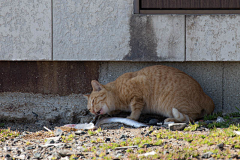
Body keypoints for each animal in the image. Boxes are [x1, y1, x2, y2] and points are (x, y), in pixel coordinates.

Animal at [84, 65, 214, 122]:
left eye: (93, 101)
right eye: (89, 109)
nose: (93, 111)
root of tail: (204, 95)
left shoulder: (138, 92)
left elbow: (135, 109)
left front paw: (132, 117)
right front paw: (113, 112)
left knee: (191, 118)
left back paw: (171, 119)